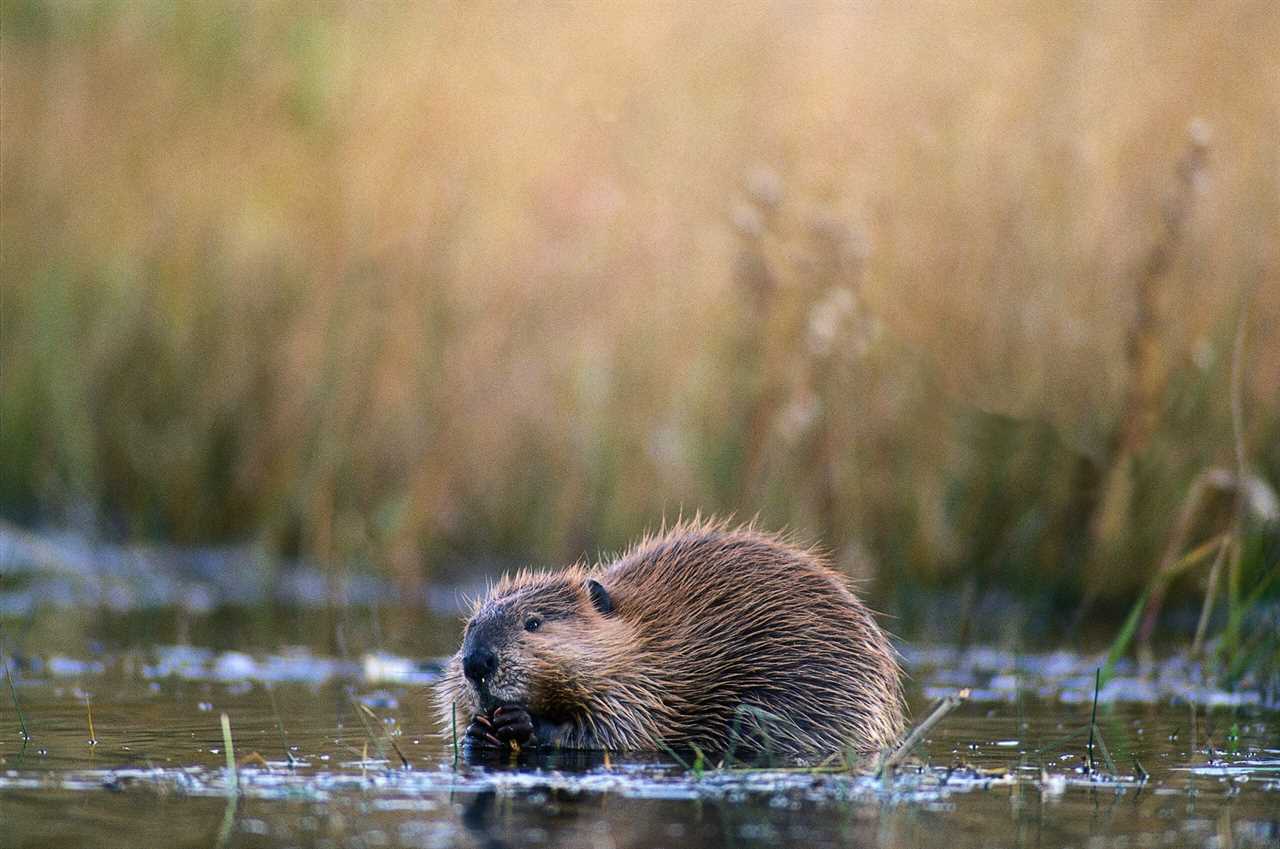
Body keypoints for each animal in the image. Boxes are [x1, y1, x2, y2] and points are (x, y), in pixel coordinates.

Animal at [435, 522, 906, 758]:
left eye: (533, 623)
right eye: (469, 626)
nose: (476, 663)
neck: (648, 636)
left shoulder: (648, 684)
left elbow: (622, 730)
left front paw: (521, 722)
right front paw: (478, 730)